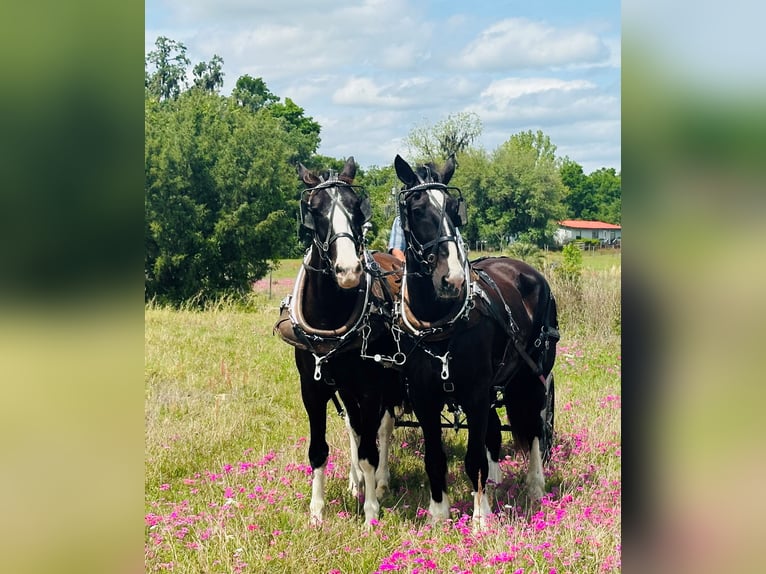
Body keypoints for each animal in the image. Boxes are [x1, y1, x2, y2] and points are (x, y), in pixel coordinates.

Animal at [276, 159, 408, 532]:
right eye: (314, 211)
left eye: (355, 208)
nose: (349, 270)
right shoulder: (312, 388)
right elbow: (319, 449)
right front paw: (317, 513)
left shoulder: (371, 387)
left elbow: (370, 449)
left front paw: (371, 513)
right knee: (355, 427)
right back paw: (356, 481)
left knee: (381, 429)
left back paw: (380, 481)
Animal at [392, 154, 560, 532]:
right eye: (417, 209)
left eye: (455, 209)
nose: (451, 278)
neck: (440, 323)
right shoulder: (424, 398)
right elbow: (435, 457)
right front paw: (438, 513)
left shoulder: (475, 394)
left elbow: (473, 458)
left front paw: (481, 517)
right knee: (495, 429)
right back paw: (497, 479)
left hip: (534, 374)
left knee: (536, 426)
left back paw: (535, 484)